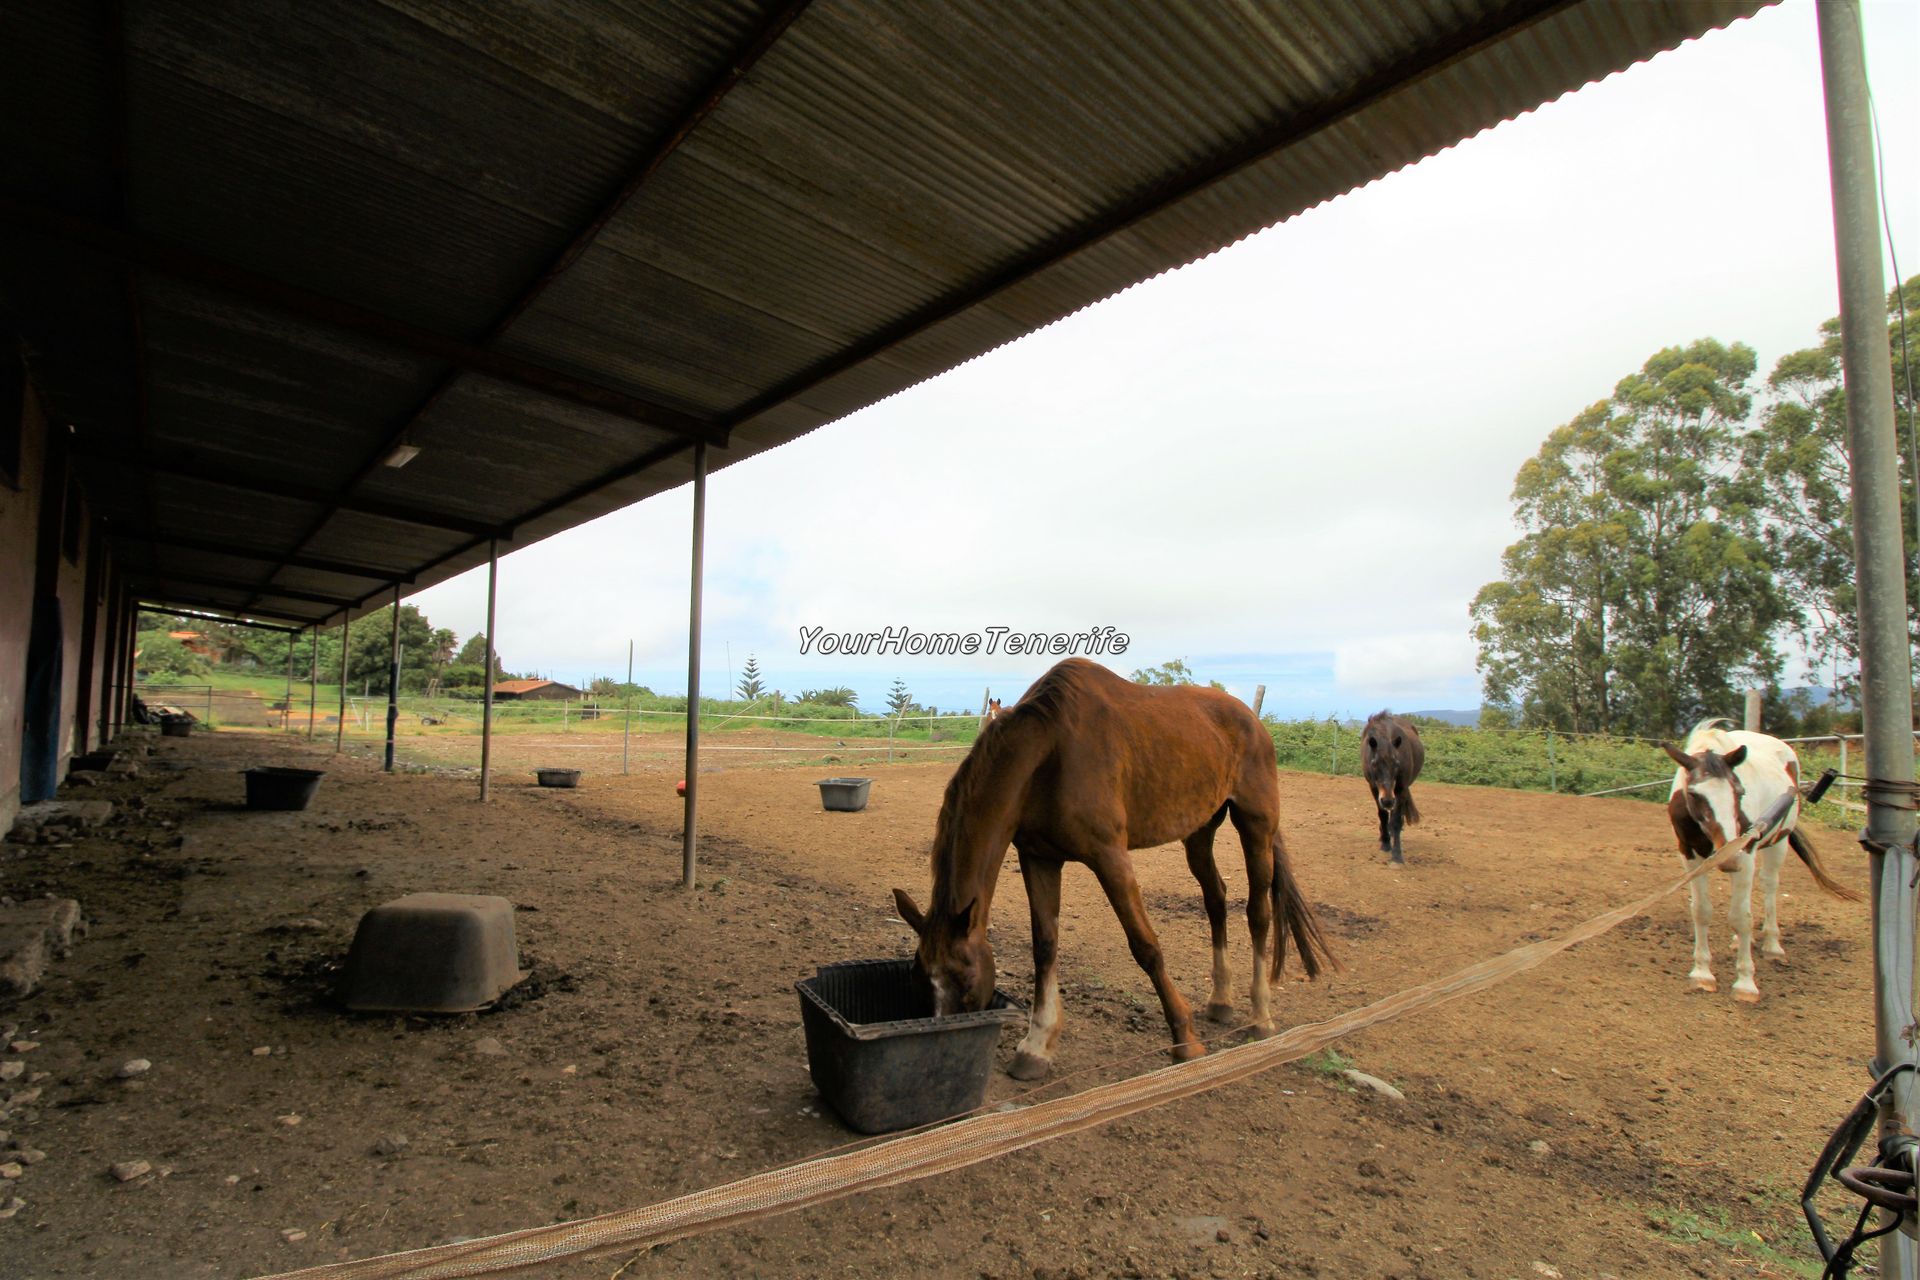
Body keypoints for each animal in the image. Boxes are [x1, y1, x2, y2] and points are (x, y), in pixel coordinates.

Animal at [894, 660, 1336, 1082]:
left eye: (966, 982)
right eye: (918, 977)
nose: (944, 1042)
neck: (1050, 751)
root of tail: (1251, 719)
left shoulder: (1110, 856)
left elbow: (1146, 946)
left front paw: (1184, 1039)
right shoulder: (1038, 857)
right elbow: (1045, 946)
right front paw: (1036, 1047)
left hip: (1256, 826)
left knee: (1258, 912)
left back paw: (1261, 1016)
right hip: (1199, 832)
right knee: (1216, 899)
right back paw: (1221, 1001)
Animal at [1367, 710, 1428, 859]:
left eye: (1397, 764)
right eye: (1374, 764)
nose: (1387, 801)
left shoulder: (1401, 788)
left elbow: (1395, 821)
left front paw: (1397, 855)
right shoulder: (1374, 787)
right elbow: (1382, 815)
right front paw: (1385, 843)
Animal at [1666, 721, 1858, 997]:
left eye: (1739, 791)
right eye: (1693, 794)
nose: (1729, 857)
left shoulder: (1745, 852)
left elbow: (1741, 917)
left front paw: (1745, 983)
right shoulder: (1690, 855)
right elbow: (1701, 911)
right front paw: (1702, 973)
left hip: (1777, 843)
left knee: (1769, 886)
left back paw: (1772, 945)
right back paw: (1739, 942)